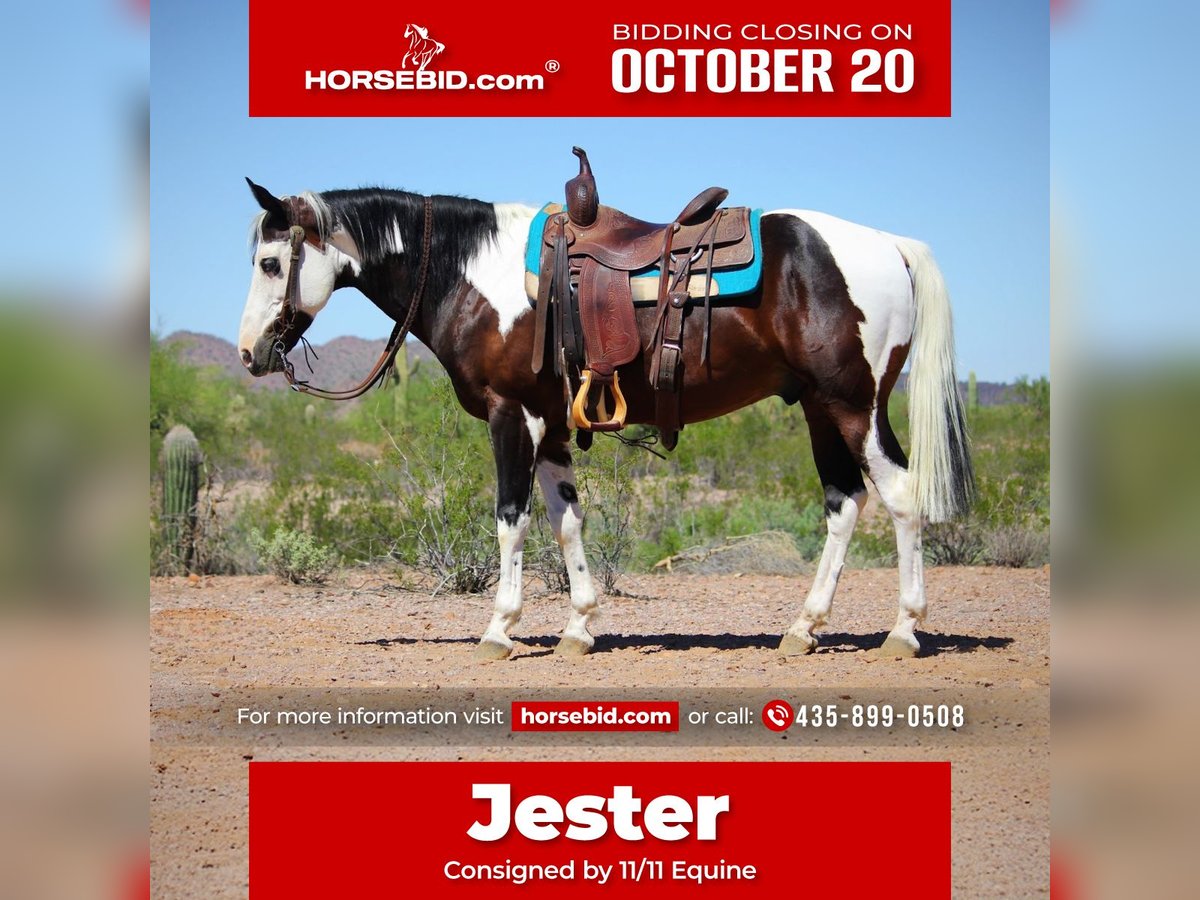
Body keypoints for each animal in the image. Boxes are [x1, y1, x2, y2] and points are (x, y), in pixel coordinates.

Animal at [237, 173, 974, 661]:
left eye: (272, 262)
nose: (249, 353)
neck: (474, 273)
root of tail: (892, 246)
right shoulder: (552, 426)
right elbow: (566, 520)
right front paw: (578, 627)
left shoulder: (512, 416)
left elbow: (511, 520)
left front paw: (500, 629)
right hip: (820, 407)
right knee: (844, 503)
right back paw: (803, 628)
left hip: (854, 403)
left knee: (900, 497)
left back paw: (904, 631)